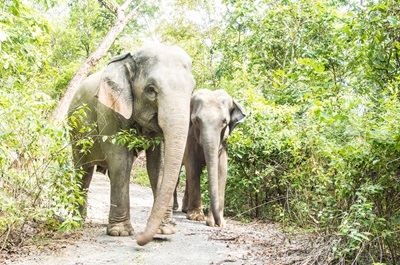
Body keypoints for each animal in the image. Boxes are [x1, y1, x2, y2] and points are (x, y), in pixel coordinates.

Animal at [68, 43, 195, 245]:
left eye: (191, 90)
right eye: (151, 90)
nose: (141, 238)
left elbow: (158, 165)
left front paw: (166, 230)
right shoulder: (108, 110)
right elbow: (120, 161)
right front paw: (120, 233)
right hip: (75, 131)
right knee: (84, 170)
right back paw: (78, 222)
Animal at [179, 88, 247, 227]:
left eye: (225, 122)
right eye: (196, 120)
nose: (218, 223)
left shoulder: (224, 141)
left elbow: (221, 170)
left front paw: (216, 222)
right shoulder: (190, 137)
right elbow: (193, 167)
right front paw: (196, 218)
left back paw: (185, 209)